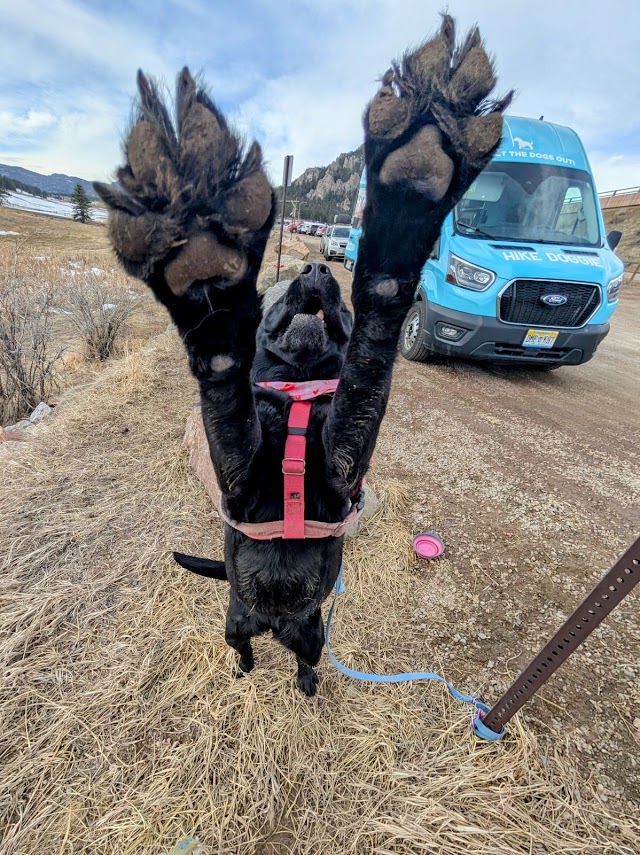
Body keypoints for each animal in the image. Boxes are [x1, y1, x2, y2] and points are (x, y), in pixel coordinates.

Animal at [95, 15, 512, 696]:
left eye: (334, 296)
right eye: (278, 291)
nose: (316, 268)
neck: (295, 394)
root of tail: (272, 620)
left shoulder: (346, 460)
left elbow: (370, 360)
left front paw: (414, 178)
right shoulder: (236, 472)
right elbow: (224, 383)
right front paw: (204, 277)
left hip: (313, 629)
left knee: (304, 656)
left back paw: (306, 682)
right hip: (233, 619)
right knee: (241, 644)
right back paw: (245, 666)